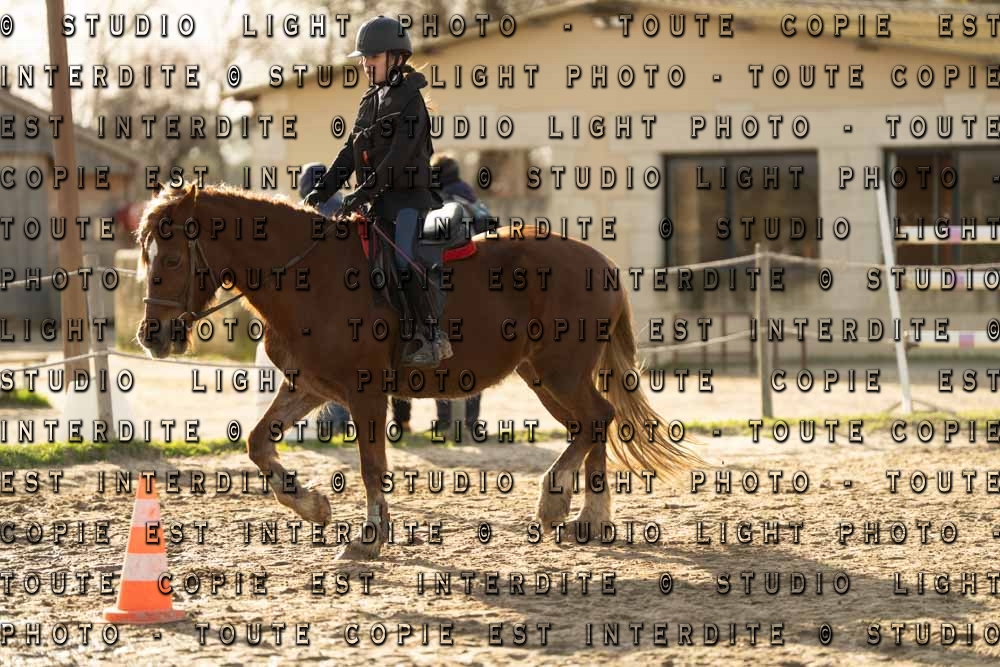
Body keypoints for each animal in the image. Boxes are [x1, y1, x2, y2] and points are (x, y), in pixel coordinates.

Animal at [134, 181, 702, 561]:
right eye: (146, 255)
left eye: (173, 259)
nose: (152, 335)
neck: (308, 276)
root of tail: (599, 262)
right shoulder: (313, 387)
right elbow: (257, 442)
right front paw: (315, 507)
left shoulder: (364, 393)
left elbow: (371, 465)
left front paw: (368, 538)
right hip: (544, 377)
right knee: (593, 424)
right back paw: (589, 519)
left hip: (560, 373)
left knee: (596, 420)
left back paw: (557, 505)